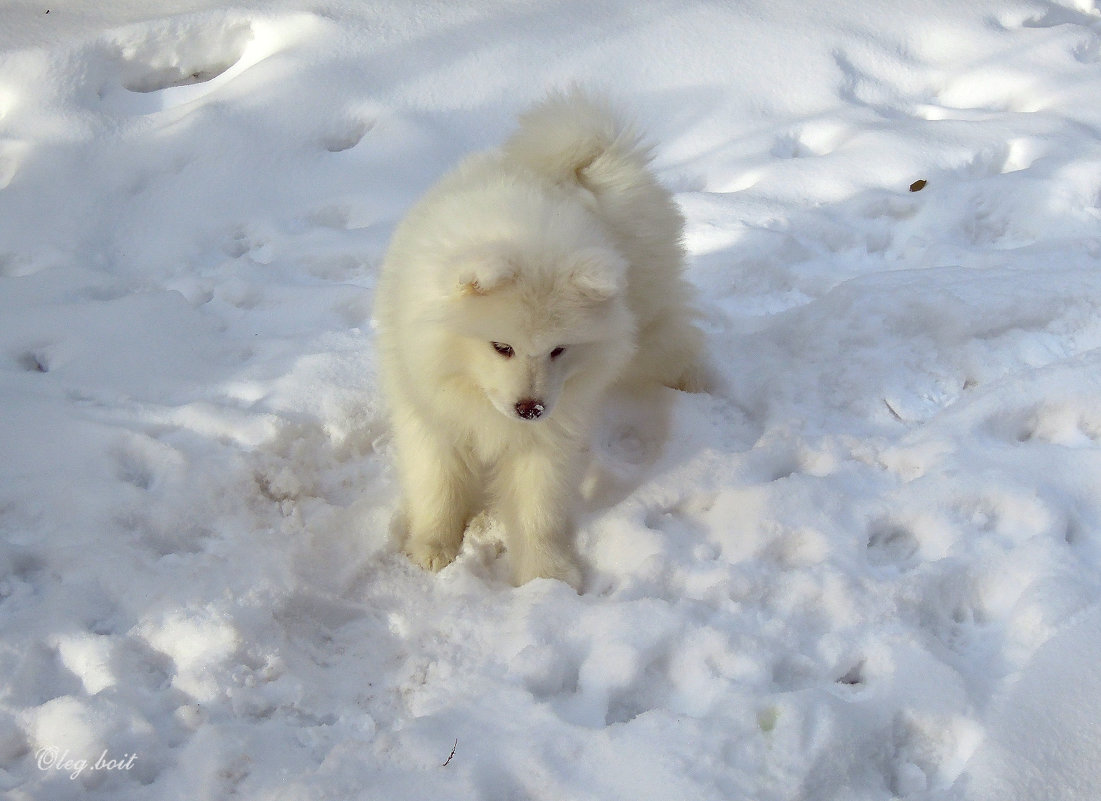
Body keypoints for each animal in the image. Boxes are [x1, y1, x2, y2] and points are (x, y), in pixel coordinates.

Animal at [374, 89, 704, 589]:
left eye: (558, 349)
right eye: (502, 347)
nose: (529, 408)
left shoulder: (552, 430)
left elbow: (538, 508)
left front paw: (546, 578)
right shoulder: (431, 414)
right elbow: (438, 485)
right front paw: (432, 549)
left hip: (651, 320)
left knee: (682, 347)